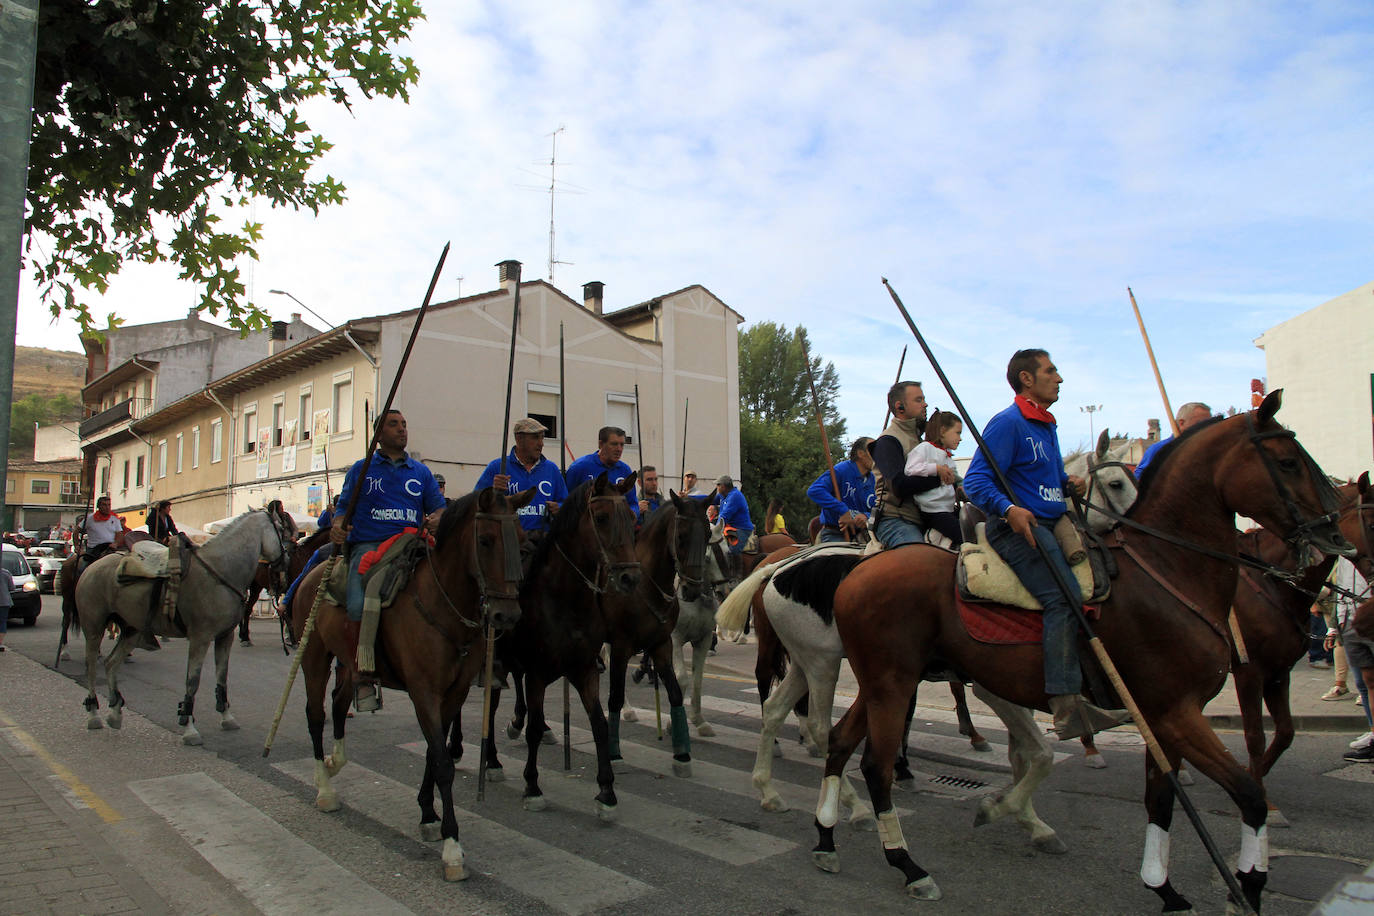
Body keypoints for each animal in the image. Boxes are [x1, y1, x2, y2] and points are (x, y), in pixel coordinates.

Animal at [75, 508, 295, 747]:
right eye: (280, 528)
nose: (286, 562)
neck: (219, 571)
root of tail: (92, 567)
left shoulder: (225, 637)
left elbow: (222, 678)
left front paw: (226, 717)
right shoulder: (200, 638)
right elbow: (192, 681)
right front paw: (189, 726)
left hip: (131, 631)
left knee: (111, 663)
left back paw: (115, 712)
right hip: (94, 629)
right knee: (91, 666)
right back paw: (94, 714)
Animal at [289, 486, 530, 878]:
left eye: (522, 544)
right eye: (485, 540)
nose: (505, 615)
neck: (443, 604)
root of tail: (314, 575)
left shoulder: (453, 694)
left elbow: (436, 753)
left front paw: (428, 815)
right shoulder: (424, 693)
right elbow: (443, 764)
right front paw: (452, 846)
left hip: (350, 663)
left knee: (339, 704)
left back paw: (336, 760)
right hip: (314, 659)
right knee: (315, 715)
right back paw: (324, 787)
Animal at [475, 472, 640, 818]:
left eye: (632, 518)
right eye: (601, 518)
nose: (630, 578)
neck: (565, 600)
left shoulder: (584, 671)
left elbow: (599, 724)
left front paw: (607, 791)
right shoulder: (538, 674)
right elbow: (535, 729)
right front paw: (532, 786)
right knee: (488, 707)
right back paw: (488, 760)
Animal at [807, 392, 1346, 911]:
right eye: (1288, 461)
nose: (1333, 531)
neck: (1168, 570)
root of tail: (856, 573)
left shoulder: (1161, 715)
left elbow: (1158, 798)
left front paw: (1165, 889)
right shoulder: (1176, 711)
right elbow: (1247, 794)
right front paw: (1248, 886)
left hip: (883, 681)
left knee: (839, 742)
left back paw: (828, 839)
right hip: (889, 682)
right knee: (872, 764)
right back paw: (909, 866)